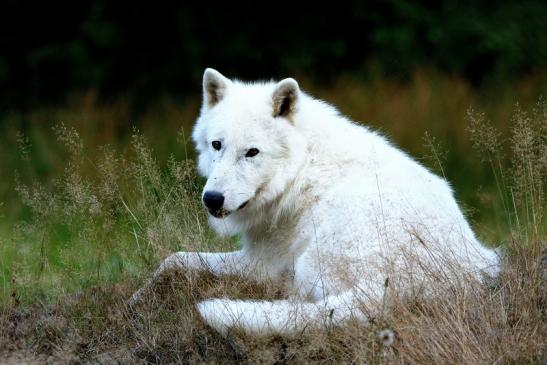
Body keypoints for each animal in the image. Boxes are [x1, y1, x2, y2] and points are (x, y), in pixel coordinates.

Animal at [131, 68, 498, 336]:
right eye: (217, 145)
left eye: (252, 152)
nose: (211, 199)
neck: (301, 167)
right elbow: (172, 260)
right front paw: (138, 296)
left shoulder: (259, 263)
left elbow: (178, 259)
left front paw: (138, 296)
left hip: (312, 257)